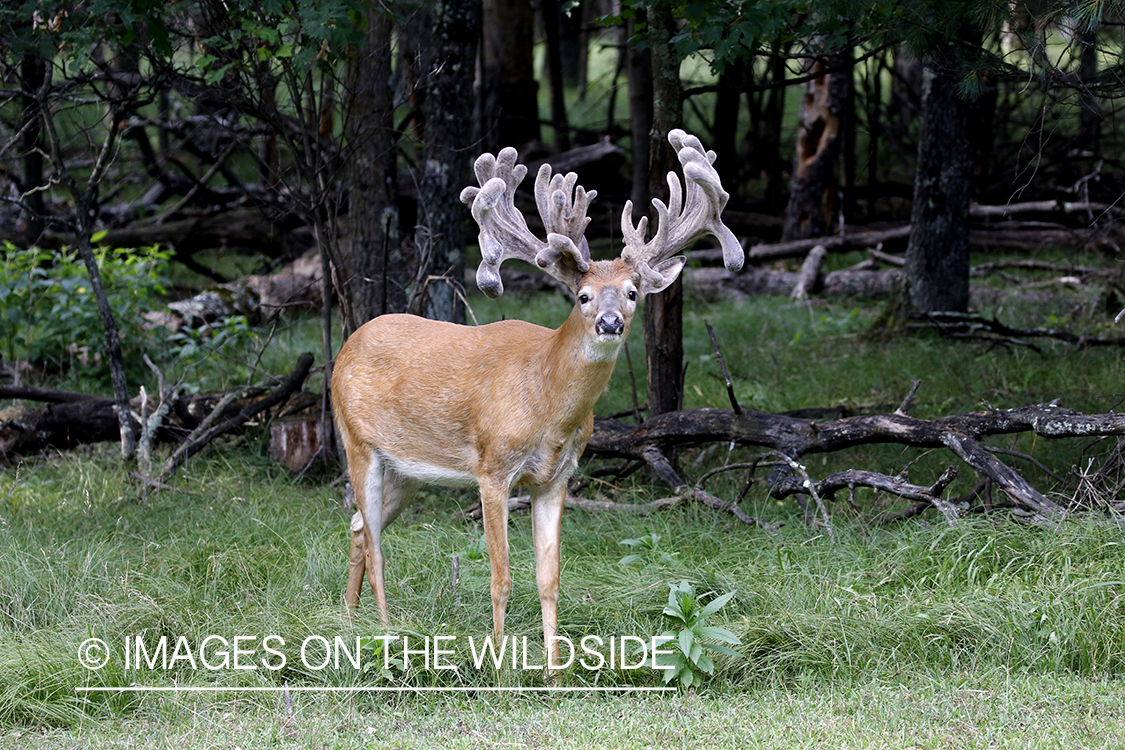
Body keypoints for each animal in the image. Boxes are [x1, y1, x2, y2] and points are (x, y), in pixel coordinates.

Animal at [328, 127, 742, 670]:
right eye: (583, 296)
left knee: (359, 526)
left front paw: (554, 672)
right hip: (358, 443)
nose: (611, 322)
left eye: (632, 292)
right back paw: (384, 630)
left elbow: (550, 579)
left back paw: (350, 619)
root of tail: (344, 348)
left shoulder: (557, 477)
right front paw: (500, 665)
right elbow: (501, 578)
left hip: (406, 471)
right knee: (374, 542)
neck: (547, 406)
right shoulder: (493, 467)